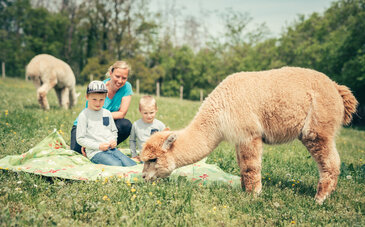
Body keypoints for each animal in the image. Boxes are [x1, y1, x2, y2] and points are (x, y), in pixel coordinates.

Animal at [141, 66, 356, 203]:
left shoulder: (248, 133)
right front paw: (244, 190)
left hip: (317, 127)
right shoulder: (239, 136)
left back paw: (320, 199)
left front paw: (254, 195)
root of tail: (336, 87)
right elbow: (242, 166)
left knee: (330, 161)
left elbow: (250, 166)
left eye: (153, 159)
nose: (143, 177)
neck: (219, 110)